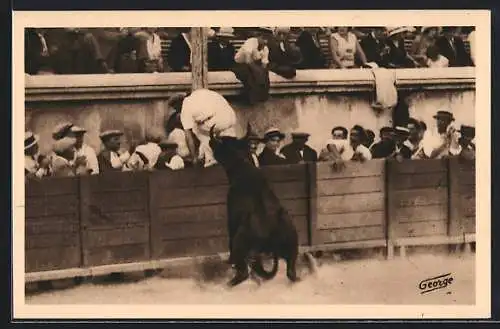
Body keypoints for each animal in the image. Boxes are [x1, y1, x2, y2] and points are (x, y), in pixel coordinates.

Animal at [208, 124, 300, 286]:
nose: (210, 142)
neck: (242, 165)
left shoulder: (231, 218)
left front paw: (229, 261)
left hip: (241, 243)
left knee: (243, 272)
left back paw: (229, 283)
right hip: (292, 246)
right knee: (291, 272)